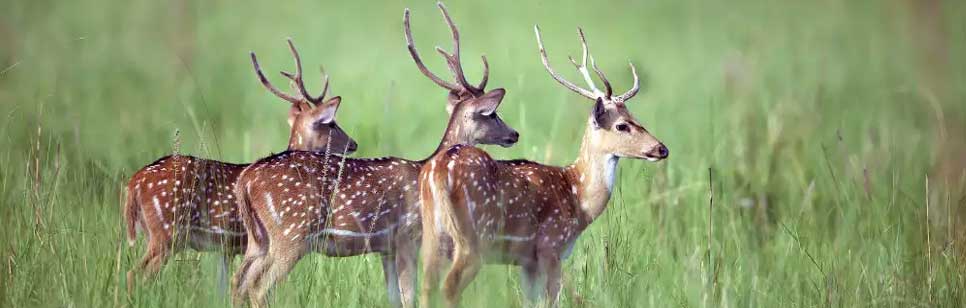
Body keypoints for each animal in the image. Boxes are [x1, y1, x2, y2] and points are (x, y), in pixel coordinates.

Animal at [123, 38, 358, 282]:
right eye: (331, 123)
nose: (353, 143)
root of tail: (134, 183)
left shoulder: (228, 248)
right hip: (167, 231)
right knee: (134, 273)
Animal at [232, 3, 520, 308]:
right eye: (493, 113)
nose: (514, 134)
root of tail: (245, 181)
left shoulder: (386, 247)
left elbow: (394, 297)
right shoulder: (407, 236)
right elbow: (408, 296)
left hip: (258, 239)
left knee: (239, 280)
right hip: (291, 233)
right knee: (258, 285)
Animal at [420, 27, 668, 308]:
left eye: (636, 117)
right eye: (622, 125)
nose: (662, 149)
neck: (578, 197)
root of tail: (438, 171)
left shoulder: (528, 261)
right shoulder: (551, 245)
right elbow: (552, 299)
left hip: (432, 237)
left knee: (426, 287)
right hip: (473, 238)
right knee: (449, 287)